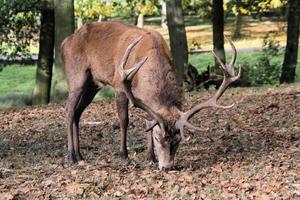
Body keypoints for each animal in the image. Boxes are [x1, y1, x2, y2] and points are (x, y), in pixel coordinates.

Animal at [61, 20, 241, 170]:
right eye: (158, 138)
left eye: (178, 140)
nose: (167, 167)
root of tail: (64, 42)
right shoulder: (120, 84)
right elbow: (124, 120)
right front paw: (124, 155)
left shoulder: (148, 100)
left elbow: (149, 121)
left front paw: (150, 157)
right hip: (76, 76)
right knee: (69, 110)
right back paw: (71, 156)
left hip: (93, 84)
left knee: (77, 113)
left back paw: (80, 155)